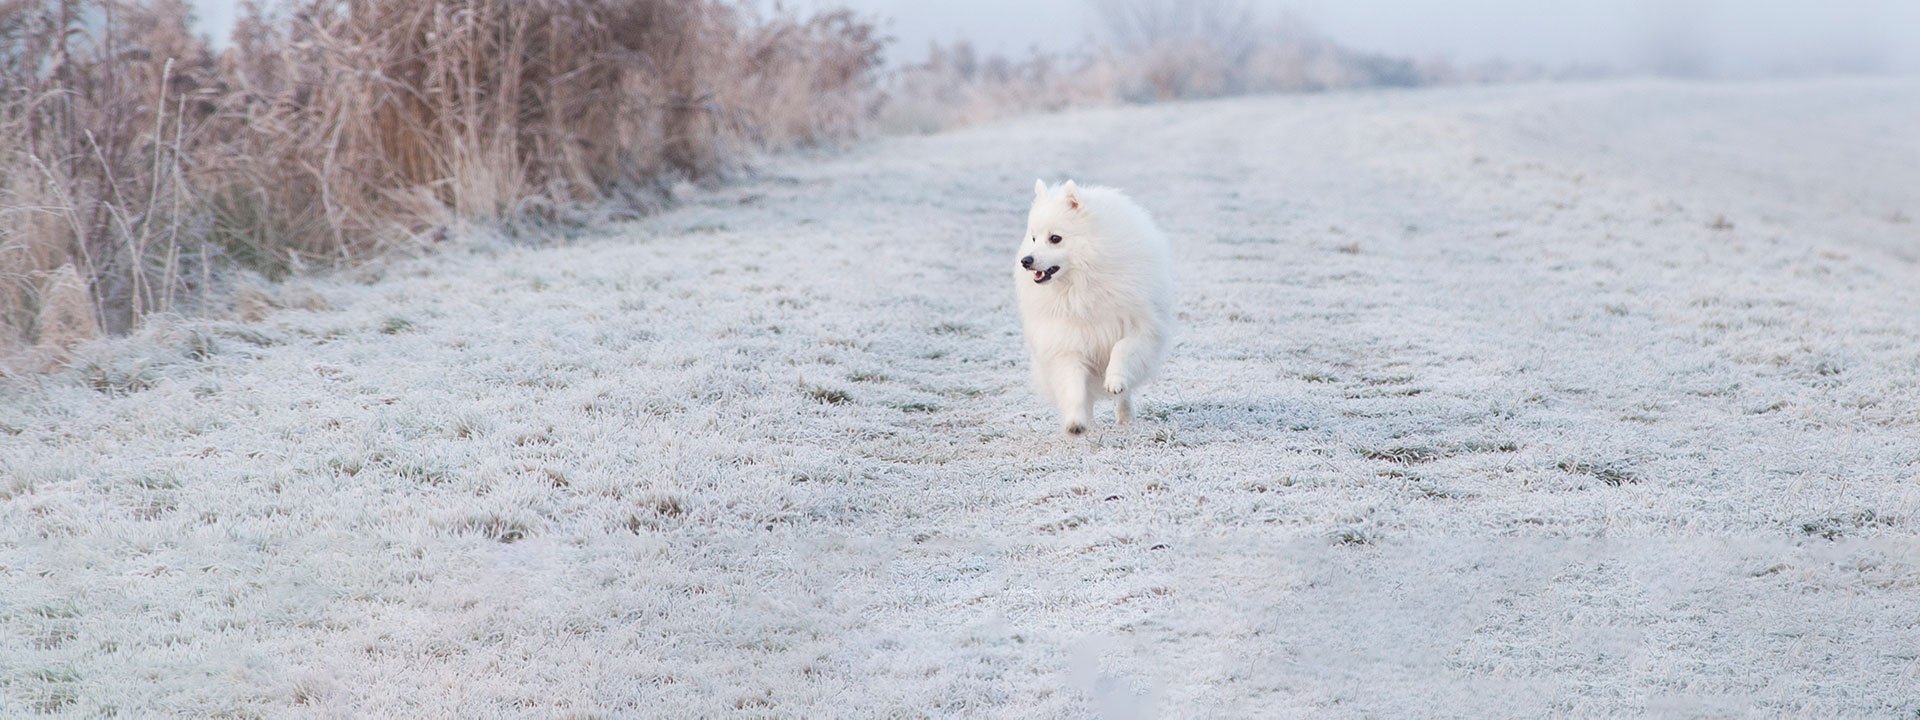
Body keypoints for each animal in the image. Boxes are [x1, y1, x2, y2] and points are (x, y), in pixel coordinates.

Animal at [1013, 180, 1175, 437]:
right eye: (1034, 238)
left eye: (1055, 238)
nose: (1026, 261)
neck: (1082, 283)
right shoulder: (1067, 343)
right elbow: (1074, 387)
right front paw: (1075, 422)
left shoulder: (1141, 328)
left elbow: (1121, 348)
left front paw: (1114, 380)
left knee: (1126, 394)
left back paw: (1125, 417)